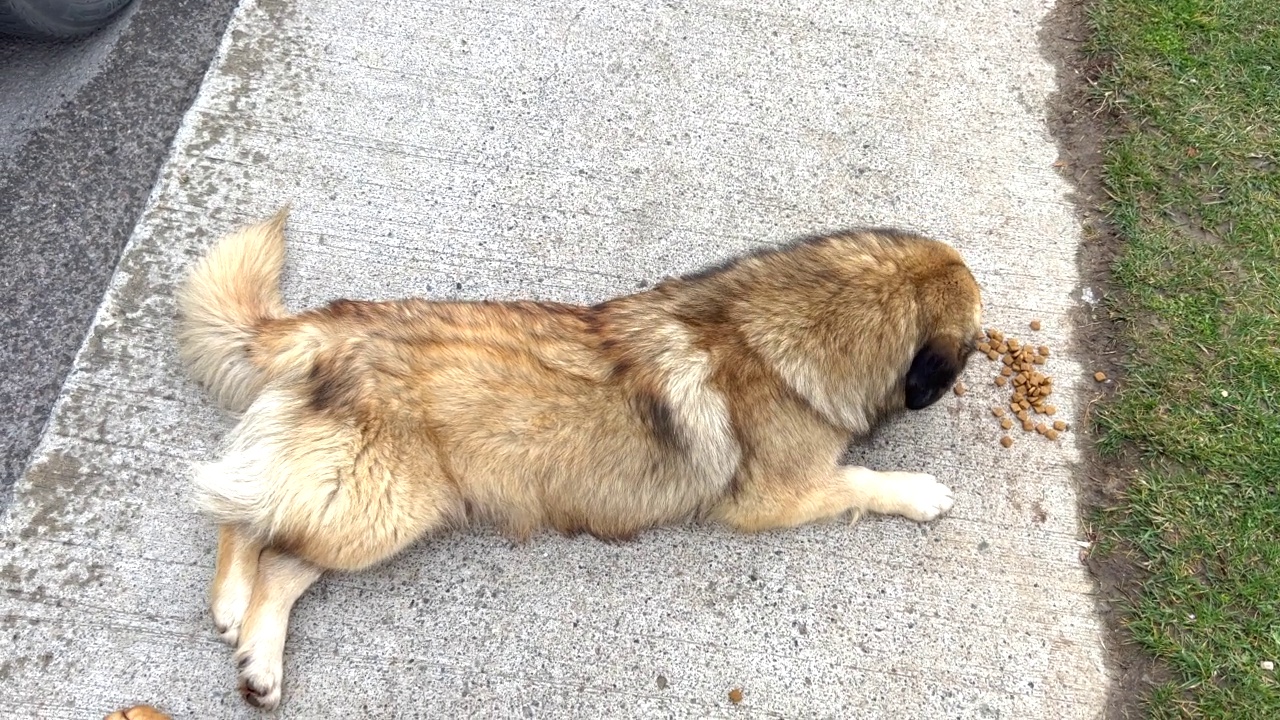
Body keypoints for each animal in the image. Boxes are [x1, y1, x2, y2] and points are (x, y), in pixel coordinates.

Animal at [175, 208, 983, 707]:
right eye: (974, 345)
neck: (785, 329)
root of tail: (329, 327)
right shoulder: (777, 496)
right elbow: (861, 478)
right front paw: (920, 493)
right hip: (383, 507)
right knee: (238, 511)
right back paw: (231, 605)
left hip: (373, 504)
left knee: (277, 546)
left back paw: (257, 657)